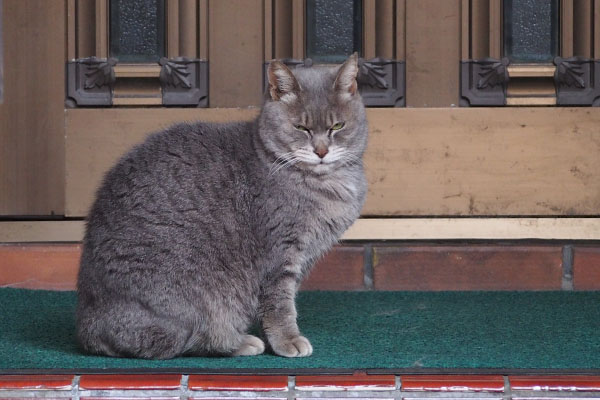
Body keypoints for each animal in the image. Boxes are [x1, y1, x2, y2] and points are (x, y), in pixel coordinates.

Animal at [77, 53, 368, 360]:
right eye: (301, 128)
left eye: (337, 127)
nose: (321, 151)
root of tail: (87, 326)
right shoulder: (279, 255)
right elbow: (280, 305)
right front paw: (287, 339)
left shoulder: (304, 258)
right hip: (191, 303)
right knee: (180, 341)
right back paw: (239, 341)